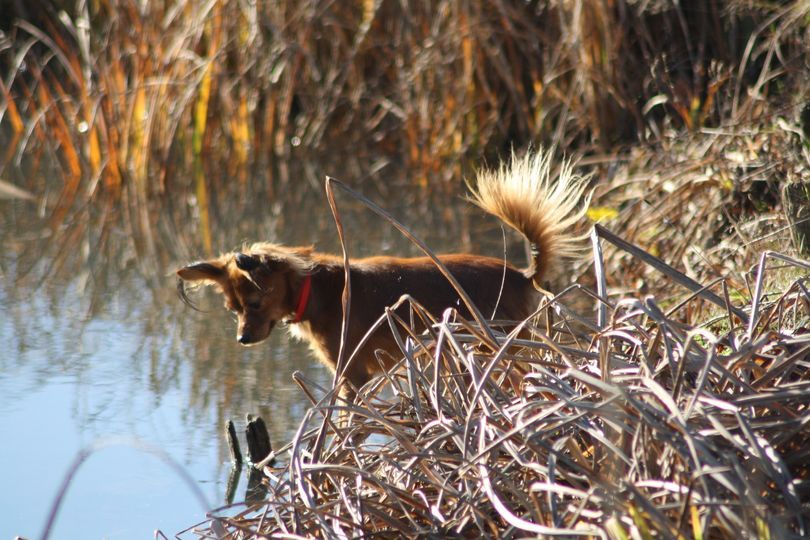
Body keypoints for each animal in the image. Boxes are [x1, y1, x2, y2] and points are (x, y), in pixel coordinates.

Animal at [175, 148, 588, 400]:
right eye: (234, 310)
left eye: (256, 304)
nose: (242, 339)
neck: (315, 290)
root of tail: (521, 274)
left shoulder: (352, 375)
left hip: (502, 346)